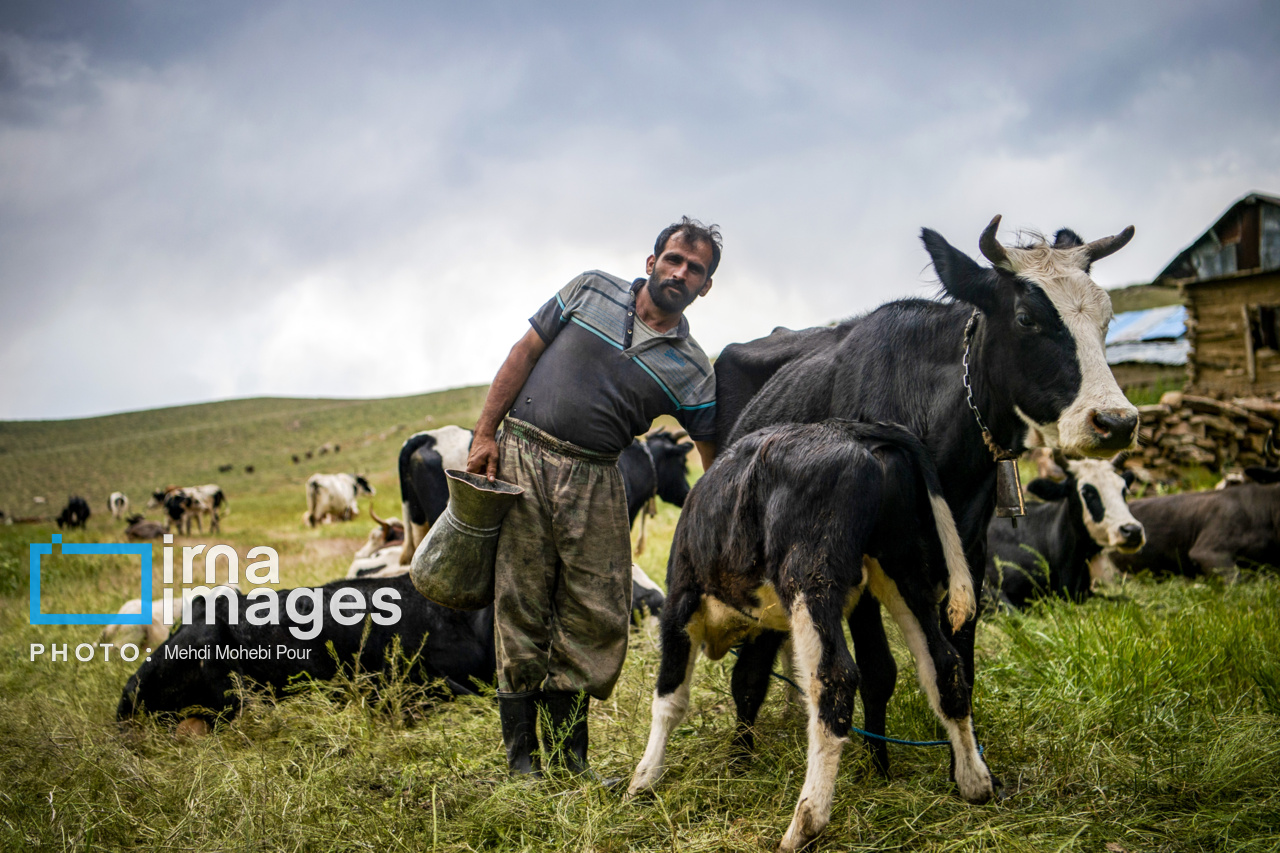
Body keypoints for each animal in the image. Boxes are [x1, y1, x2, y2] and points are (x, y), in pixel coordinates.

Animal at [629, 420, 988, 850]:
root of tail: (858, 431)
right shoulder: (766, 623)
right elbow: (748, 684)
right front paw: (739, 759)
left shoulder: (680, 602)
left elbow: (669, 696)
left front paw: (645, 776)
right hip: (902, 568)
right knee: (943, 664)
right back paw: (974, 781)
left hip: (808, 578)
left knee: (835, 679)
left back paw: (805, 821)